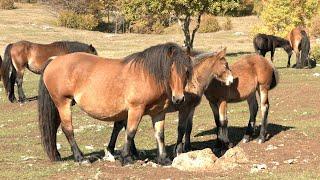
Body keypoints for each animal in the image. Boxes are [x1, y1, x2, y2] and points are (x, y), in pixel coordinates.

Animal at [38, 42, 192, 166]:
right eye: (171, 69)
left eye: (186, 71)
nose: (179, 99)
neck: (147, 76)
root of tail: (54, 60)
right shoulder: (135, 109)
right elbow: (130, 132)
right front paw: (126, 158)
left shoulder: (158, 112)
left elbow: (160, 135)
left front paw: (163, 159)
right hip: (63, 103)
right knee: (68, 129)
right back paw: (80, 158)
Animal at [106, 47, 234, 158]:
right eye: (225, 64)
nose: (231, 80)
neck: (192, 81)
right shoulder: (184, 109)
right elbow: (181, 128)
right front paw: (178, 150)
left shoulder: (191, 108)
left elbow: (189, 127)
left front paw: (187, 147)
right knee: (122, 126)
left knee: (120, 126)